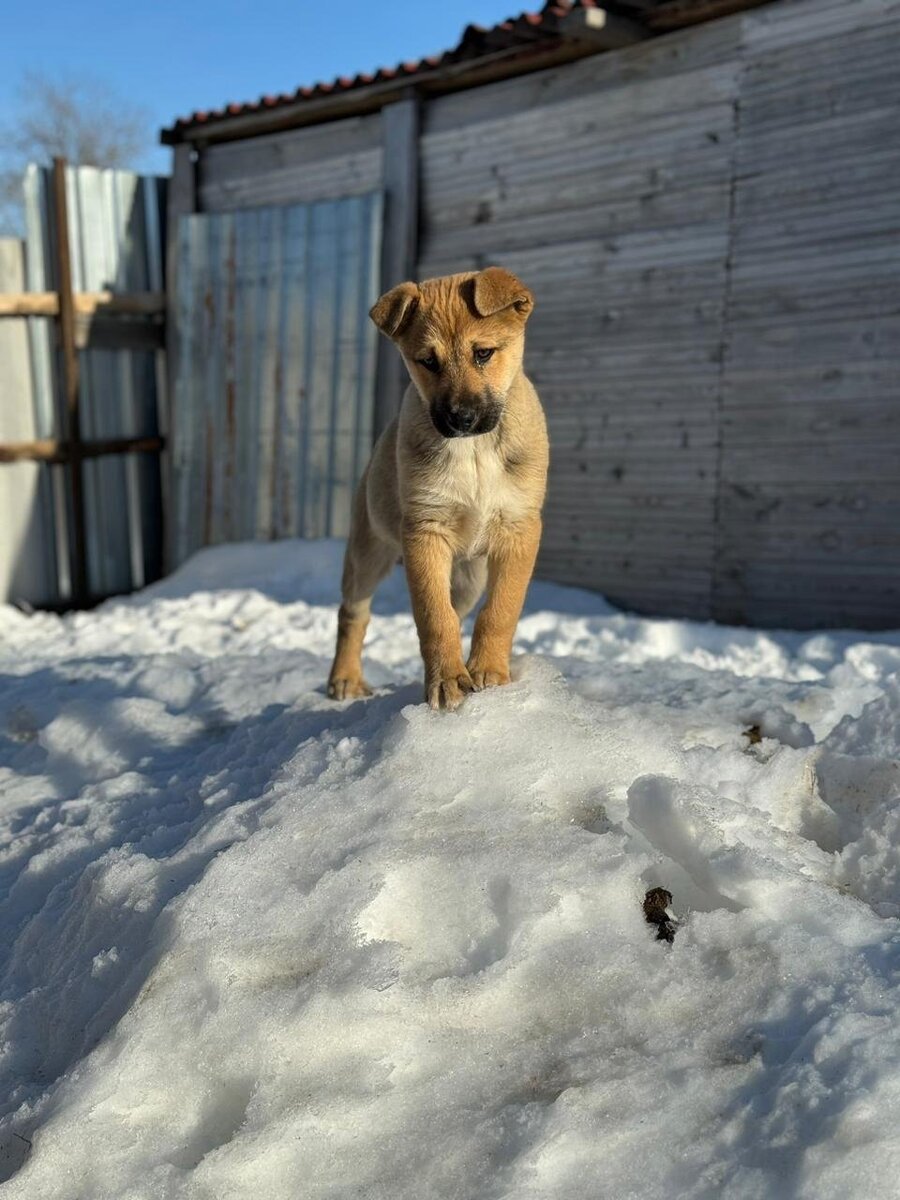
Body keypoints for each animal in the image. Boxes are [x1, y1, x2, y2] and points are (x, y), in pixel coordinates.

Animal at [326, 267, 547, 705]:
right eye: (427, 361)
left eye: (483, 353)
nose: (461, 418)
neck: (474, 451)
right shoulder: (424, 533)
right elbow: (433, 615)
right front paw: (447, 682)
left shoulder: (520, 529)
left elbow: (500, 610)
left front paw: (488, 673)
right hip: (369, 551)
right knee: (352, 613)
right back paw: (345, 679)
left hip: (469, 577)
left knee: (459, 610)